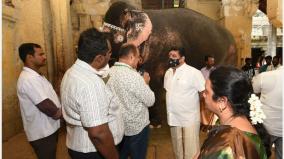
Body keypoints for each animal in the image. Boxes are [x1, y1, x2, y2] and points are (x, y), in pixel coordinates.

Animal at [101, 1, 236, 125]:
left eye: (113, 37)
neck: (137, 11)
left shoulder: (159, 53)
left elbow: (154, 83)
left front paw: (154, 124)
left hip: (231, 56)